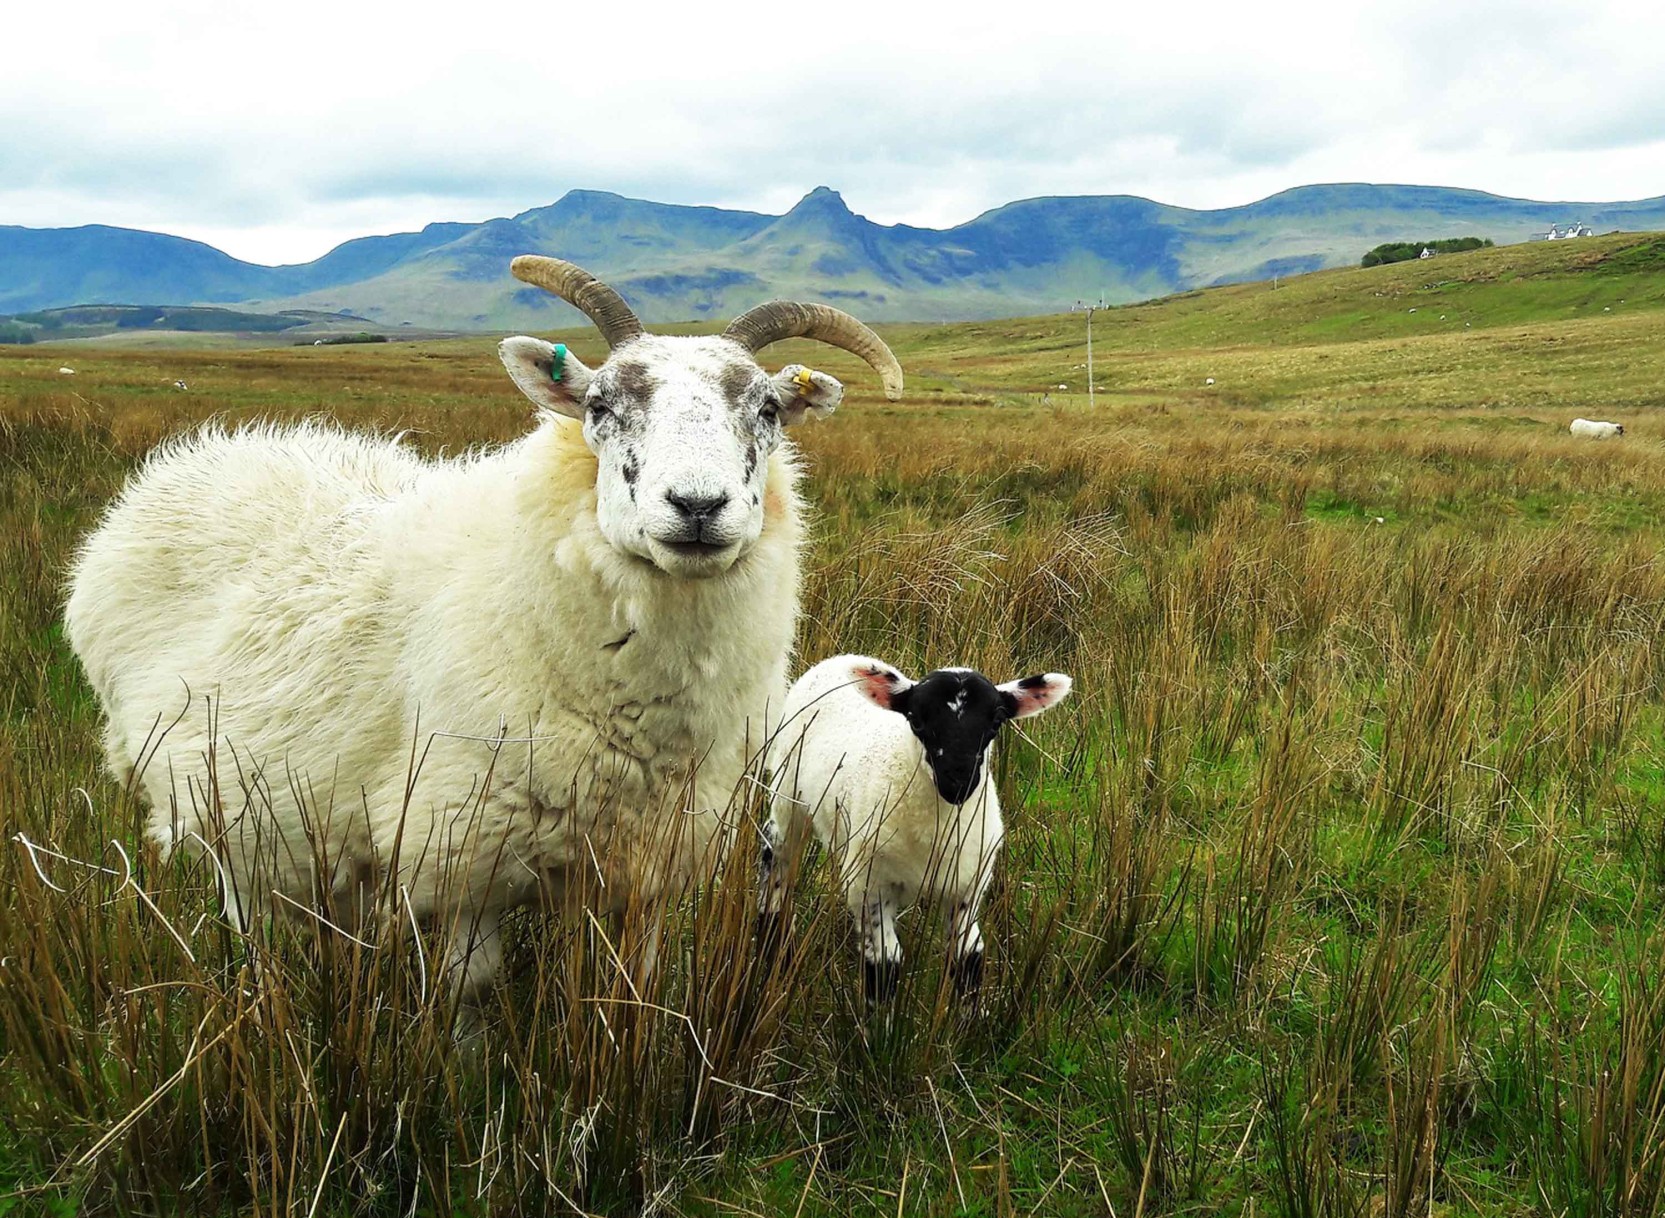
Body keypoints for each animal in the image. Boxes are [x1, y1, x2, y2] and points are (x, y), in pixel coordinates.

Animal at [64, 254, 905, 998]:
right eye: (599, 406)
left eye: (766, 410)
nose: (696, 507)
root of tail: (196, 459)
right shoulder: (460, 853)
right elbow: (472, 991)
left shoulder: (653, 862)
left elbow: (634, 985)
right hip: (208, 801)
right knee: (243, 911)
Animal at [762, 655, 1072, 998]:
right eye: (916, 720)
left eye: (996, 722)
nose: (958, 782)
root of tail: (840, 659)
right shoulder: (869, 886)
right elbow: (884, 964)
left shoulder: (968, 887)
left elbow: (968, 956)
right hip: (787, 794)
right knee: (777, 858)